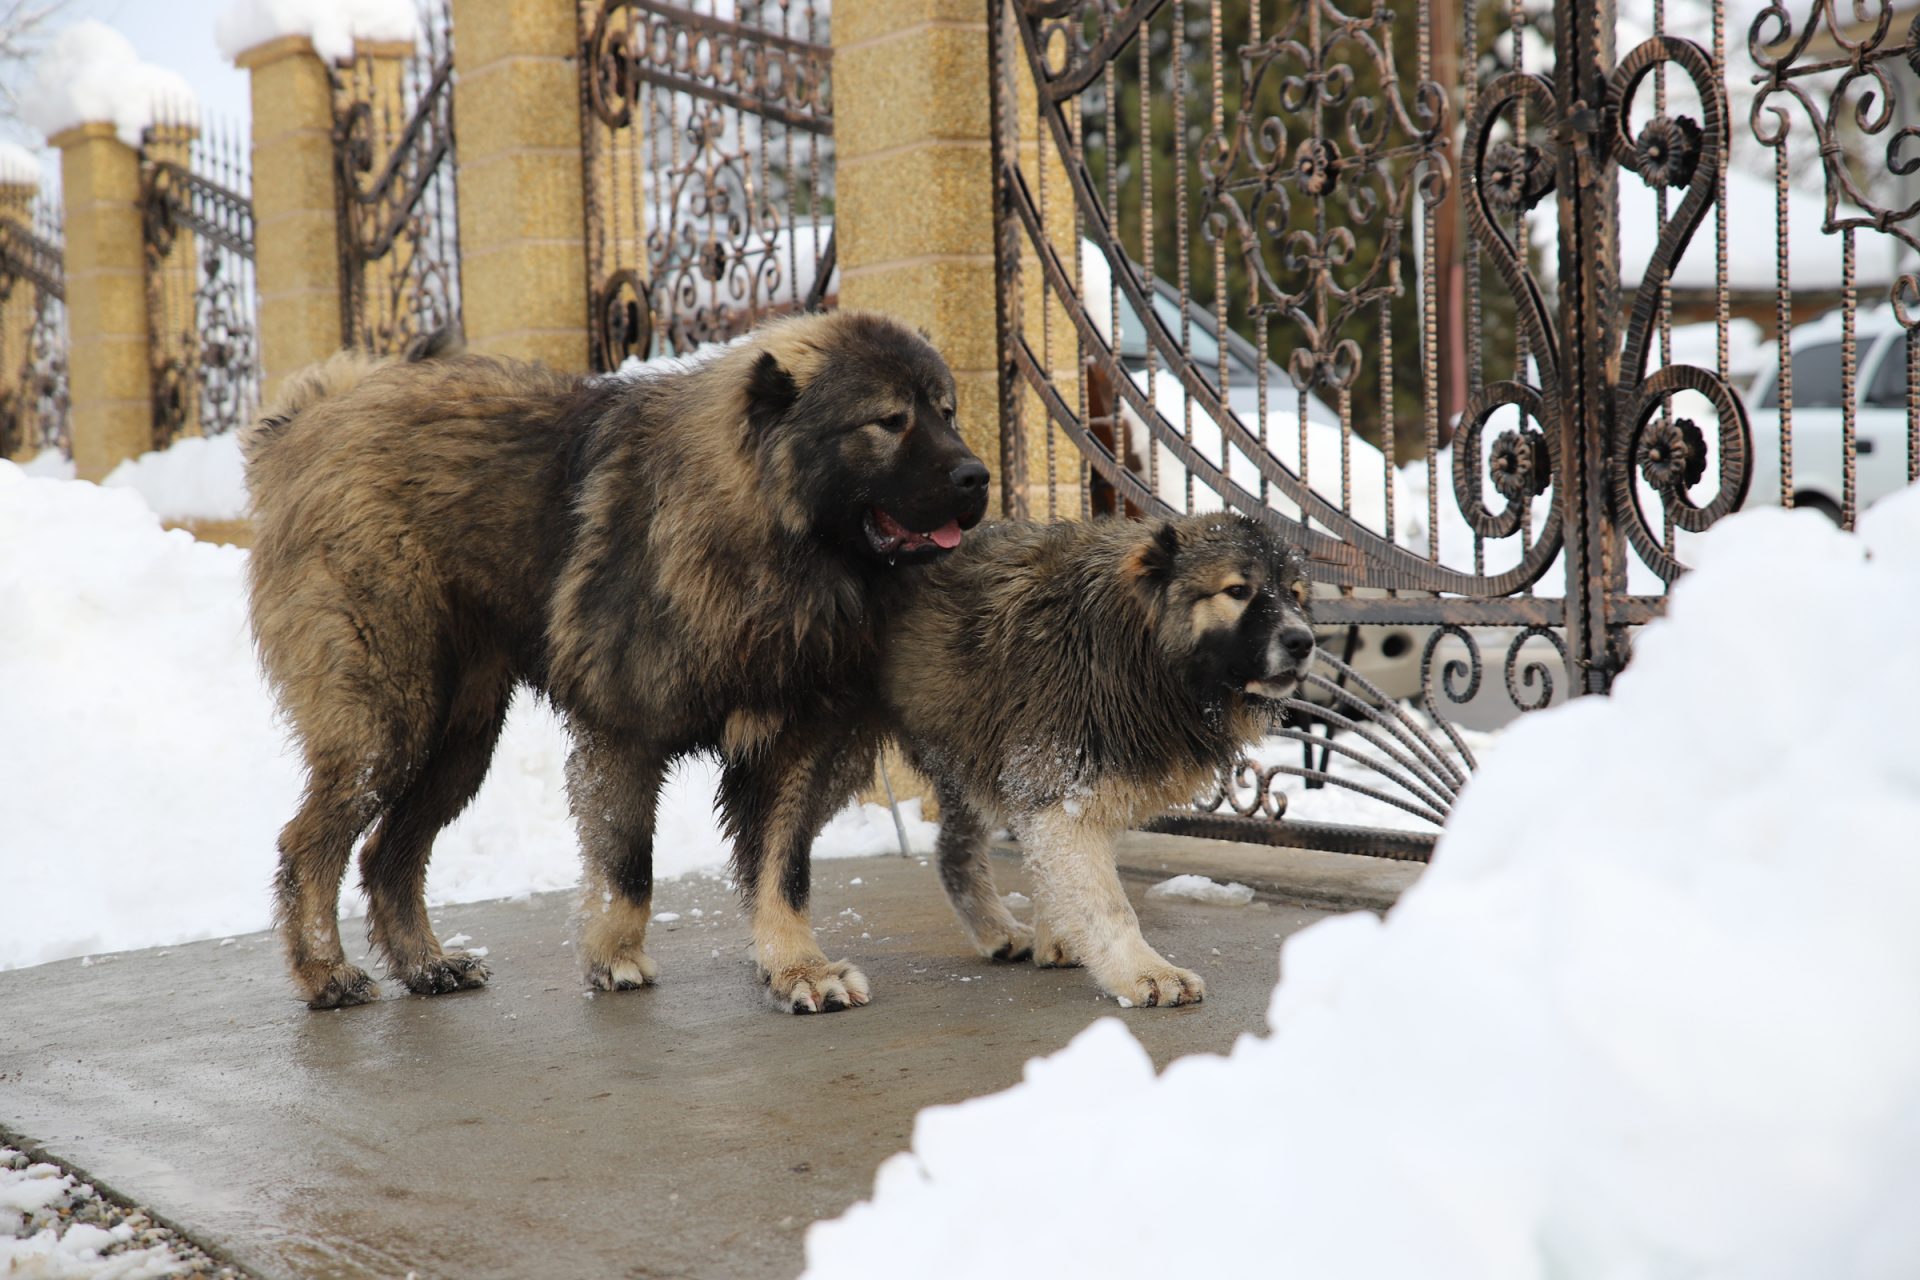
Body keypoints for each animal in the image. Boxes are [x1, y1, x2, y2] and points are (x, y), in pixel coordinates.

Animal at [245, 310, 990, 1013]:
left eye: (948, 413)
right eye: (889, 421)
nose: (977, 476)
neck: (766, 538)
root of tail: (308, 419)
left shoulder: (791, 743)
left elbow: (785, 872)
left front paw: (797, 968)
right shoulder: (625, 729)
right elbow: (629, 864)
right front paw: (615, 959)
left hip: (459, 738)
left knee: (387, 854)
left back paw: (428, 966)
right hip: (389, 722)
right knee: (307, 846)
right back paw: (327, 974)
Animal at [887, 514, 1320, 1013]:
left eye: (1294, 594)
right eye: (1237, 590)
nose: (1303, 641)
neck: (1130, 641)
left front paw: (1059, 938)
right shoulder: (1060, 782)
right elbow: (1108, 903)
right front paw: (1145, 973)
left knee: (954, 851)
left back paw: (995, 932)